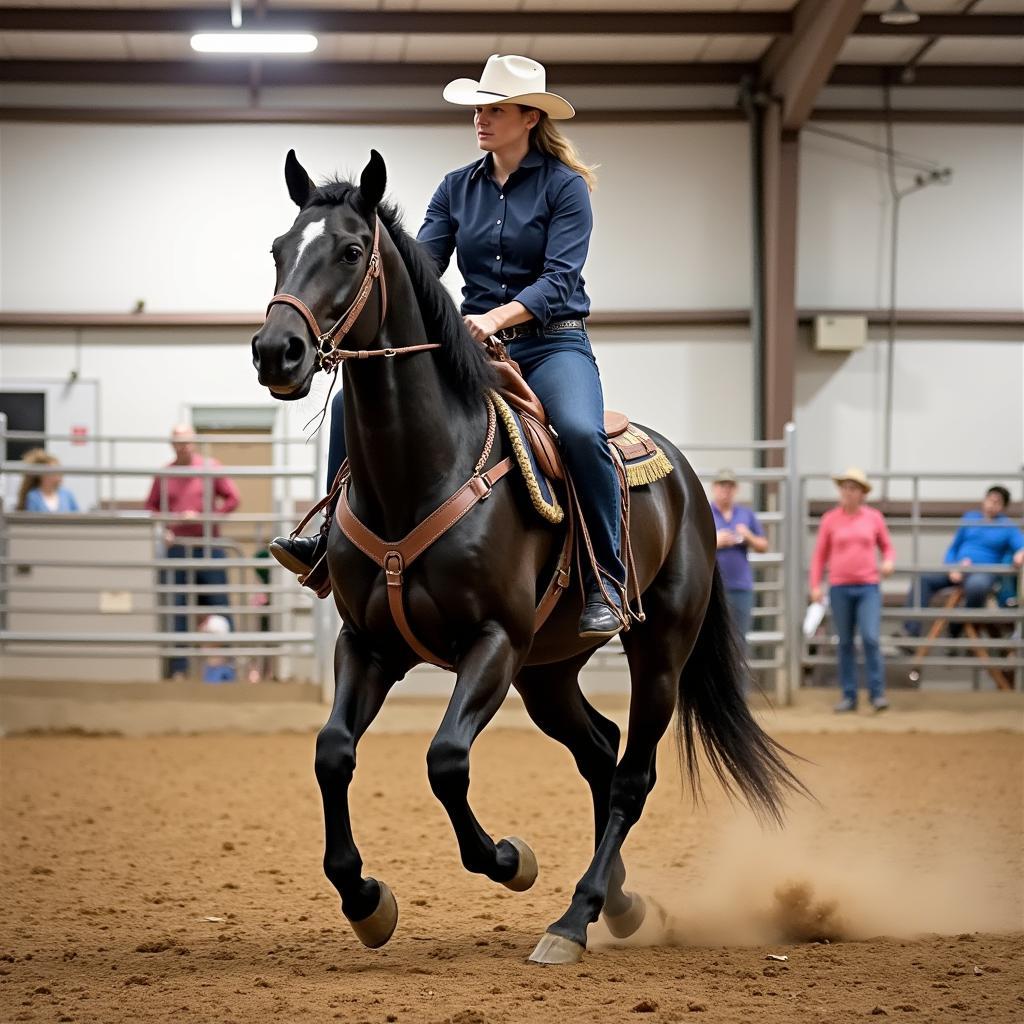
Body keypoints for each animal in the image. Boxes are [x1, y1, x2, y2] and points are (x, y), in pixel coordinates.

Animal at [247, 148, 798, 962]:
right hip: (549, 671)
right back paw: (620, 905)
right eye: (279, 248)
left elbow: (446, 759)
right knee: (599, 751)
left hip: (657, 652)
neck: (424, 470)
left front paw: (510, 860)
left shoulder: (495, 641)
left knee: (632, 775)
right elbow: (333, 751)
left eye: (349, 250)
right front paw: (365, 900)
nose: (276, 351)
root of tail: (689, 484)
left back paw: (574, 917)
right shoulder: (368, 642)